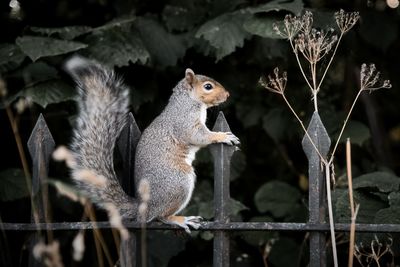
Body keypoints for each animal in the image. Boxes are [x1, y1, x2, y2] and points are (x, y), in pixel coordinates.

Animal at [65, 57, 239, 234]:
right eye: (208, 86)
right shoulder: (186, 122)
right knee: (161, 216)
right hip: (179, 182)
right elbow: (199, 136)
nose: (227, 94)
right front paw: (222, 136)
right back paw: (180, 219)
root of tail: (144, 208)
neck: (188, 100)